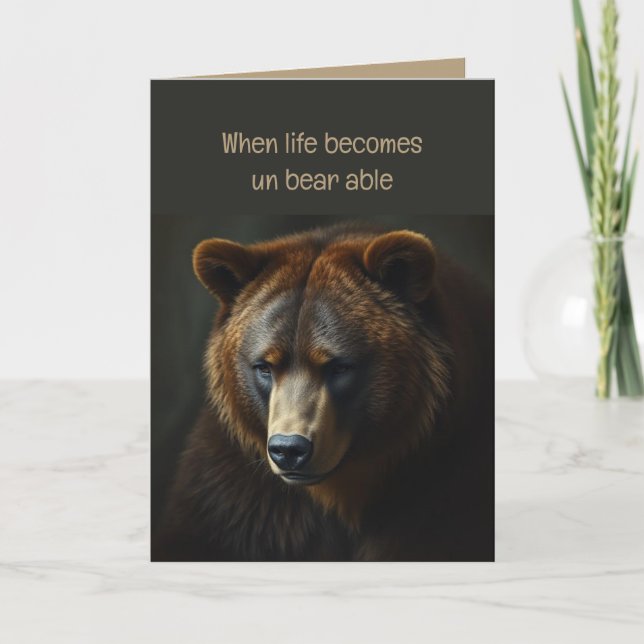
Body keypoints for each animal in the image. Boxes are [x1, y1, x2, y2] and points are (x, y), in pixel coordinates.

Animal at [154, 223, 494, 561]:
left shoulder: (448, 489)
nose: (289, 449)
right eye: (265, 366)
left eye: (339, 367)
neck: (342, 494)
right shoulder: (235, 500)